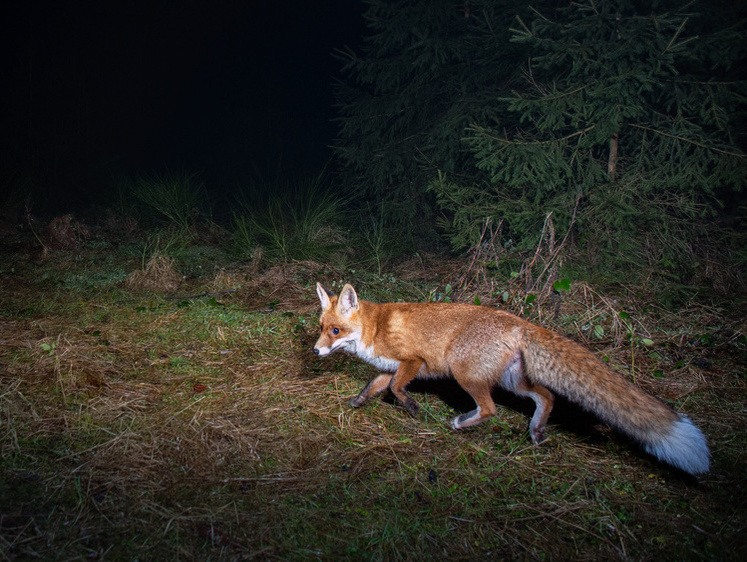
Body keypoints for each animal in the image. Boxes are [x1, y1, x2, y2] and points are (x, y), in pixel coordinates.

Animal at [312, 284, 712, 472]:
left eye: (335, 331)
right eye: (319, 328)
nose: (315, 352)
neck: (374, 329)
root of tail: (521, 321)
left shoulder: (413, 361)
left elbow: (396, 388)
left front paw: (410, 406)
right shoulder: (389, 367)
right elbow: (375, 386)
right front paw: (358, 402)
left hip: (465, 374)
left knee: (491, 409)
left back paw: (462, 423)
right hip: (514, 381)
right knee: (547, 397)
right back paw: (535, 432)